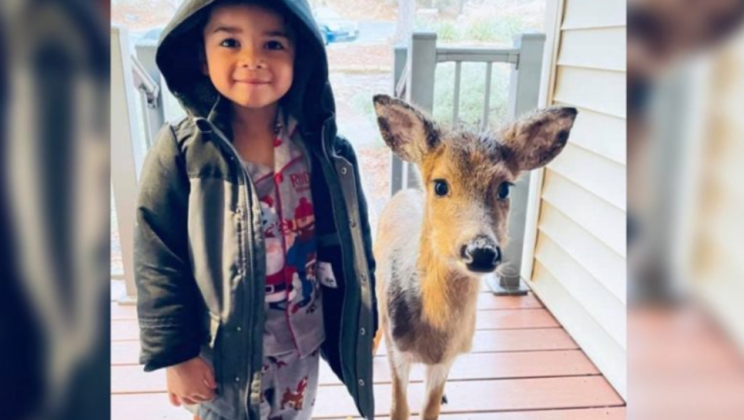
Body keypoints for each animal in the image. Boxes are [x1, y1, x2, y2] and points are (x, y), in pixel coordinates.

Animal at [371, 94, 577, 420]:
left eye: (504, 187)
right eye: (440, 185)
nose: (481, 251)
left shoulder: (447, 360)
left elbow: (430, 409)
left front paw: (439, 399)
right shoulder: (399, 350)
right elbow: (398, 408)